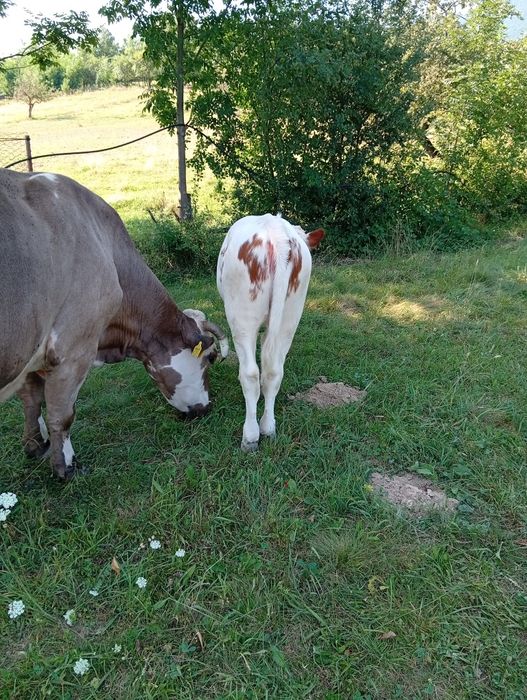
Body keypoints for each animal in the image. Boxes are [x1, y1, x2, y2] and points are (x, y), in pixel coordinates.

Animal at [0, 169, 228, 480]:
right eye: (210, 358)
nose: (206, 408)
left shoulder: (32, 357)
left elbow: (31, 402)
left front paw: (36, 446)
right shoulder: (73, 351)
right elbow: (62, 415)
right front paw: (65, 466)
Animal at [217, 213, 324, 451]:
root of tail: (277, 232)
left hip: (242, 317)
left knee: (250, 373)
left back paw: (250, 436)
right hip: (290, 316)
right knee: (274, 370)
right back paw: (268, 427)